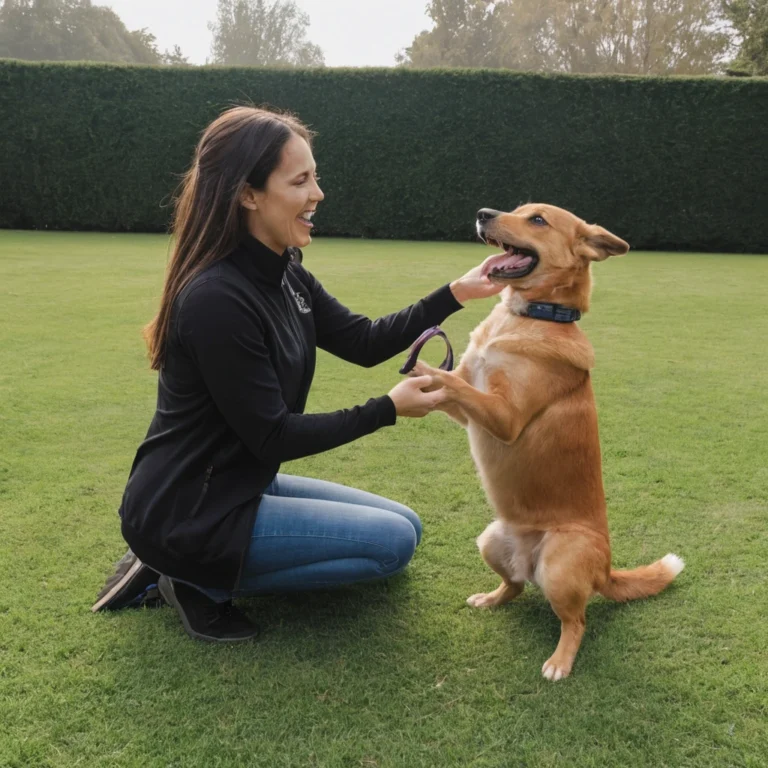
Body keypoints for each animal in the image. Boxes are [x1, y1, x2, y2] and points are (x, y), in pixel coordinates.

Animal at [412, 202, 688, 680]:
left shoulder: (503, 416)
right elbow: (455, 384)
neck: (529, 315)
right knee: (515, 587)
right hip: (491, 540)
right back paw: (491, 598)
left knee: (576, 621)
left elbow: (453, 381)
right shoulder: (467, 411)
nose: (483, 212)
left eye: (538, 220)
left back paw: (560, 661)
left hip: (560, 562)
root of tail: (605, 571)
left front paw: (423, 368)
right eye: (516, 210)